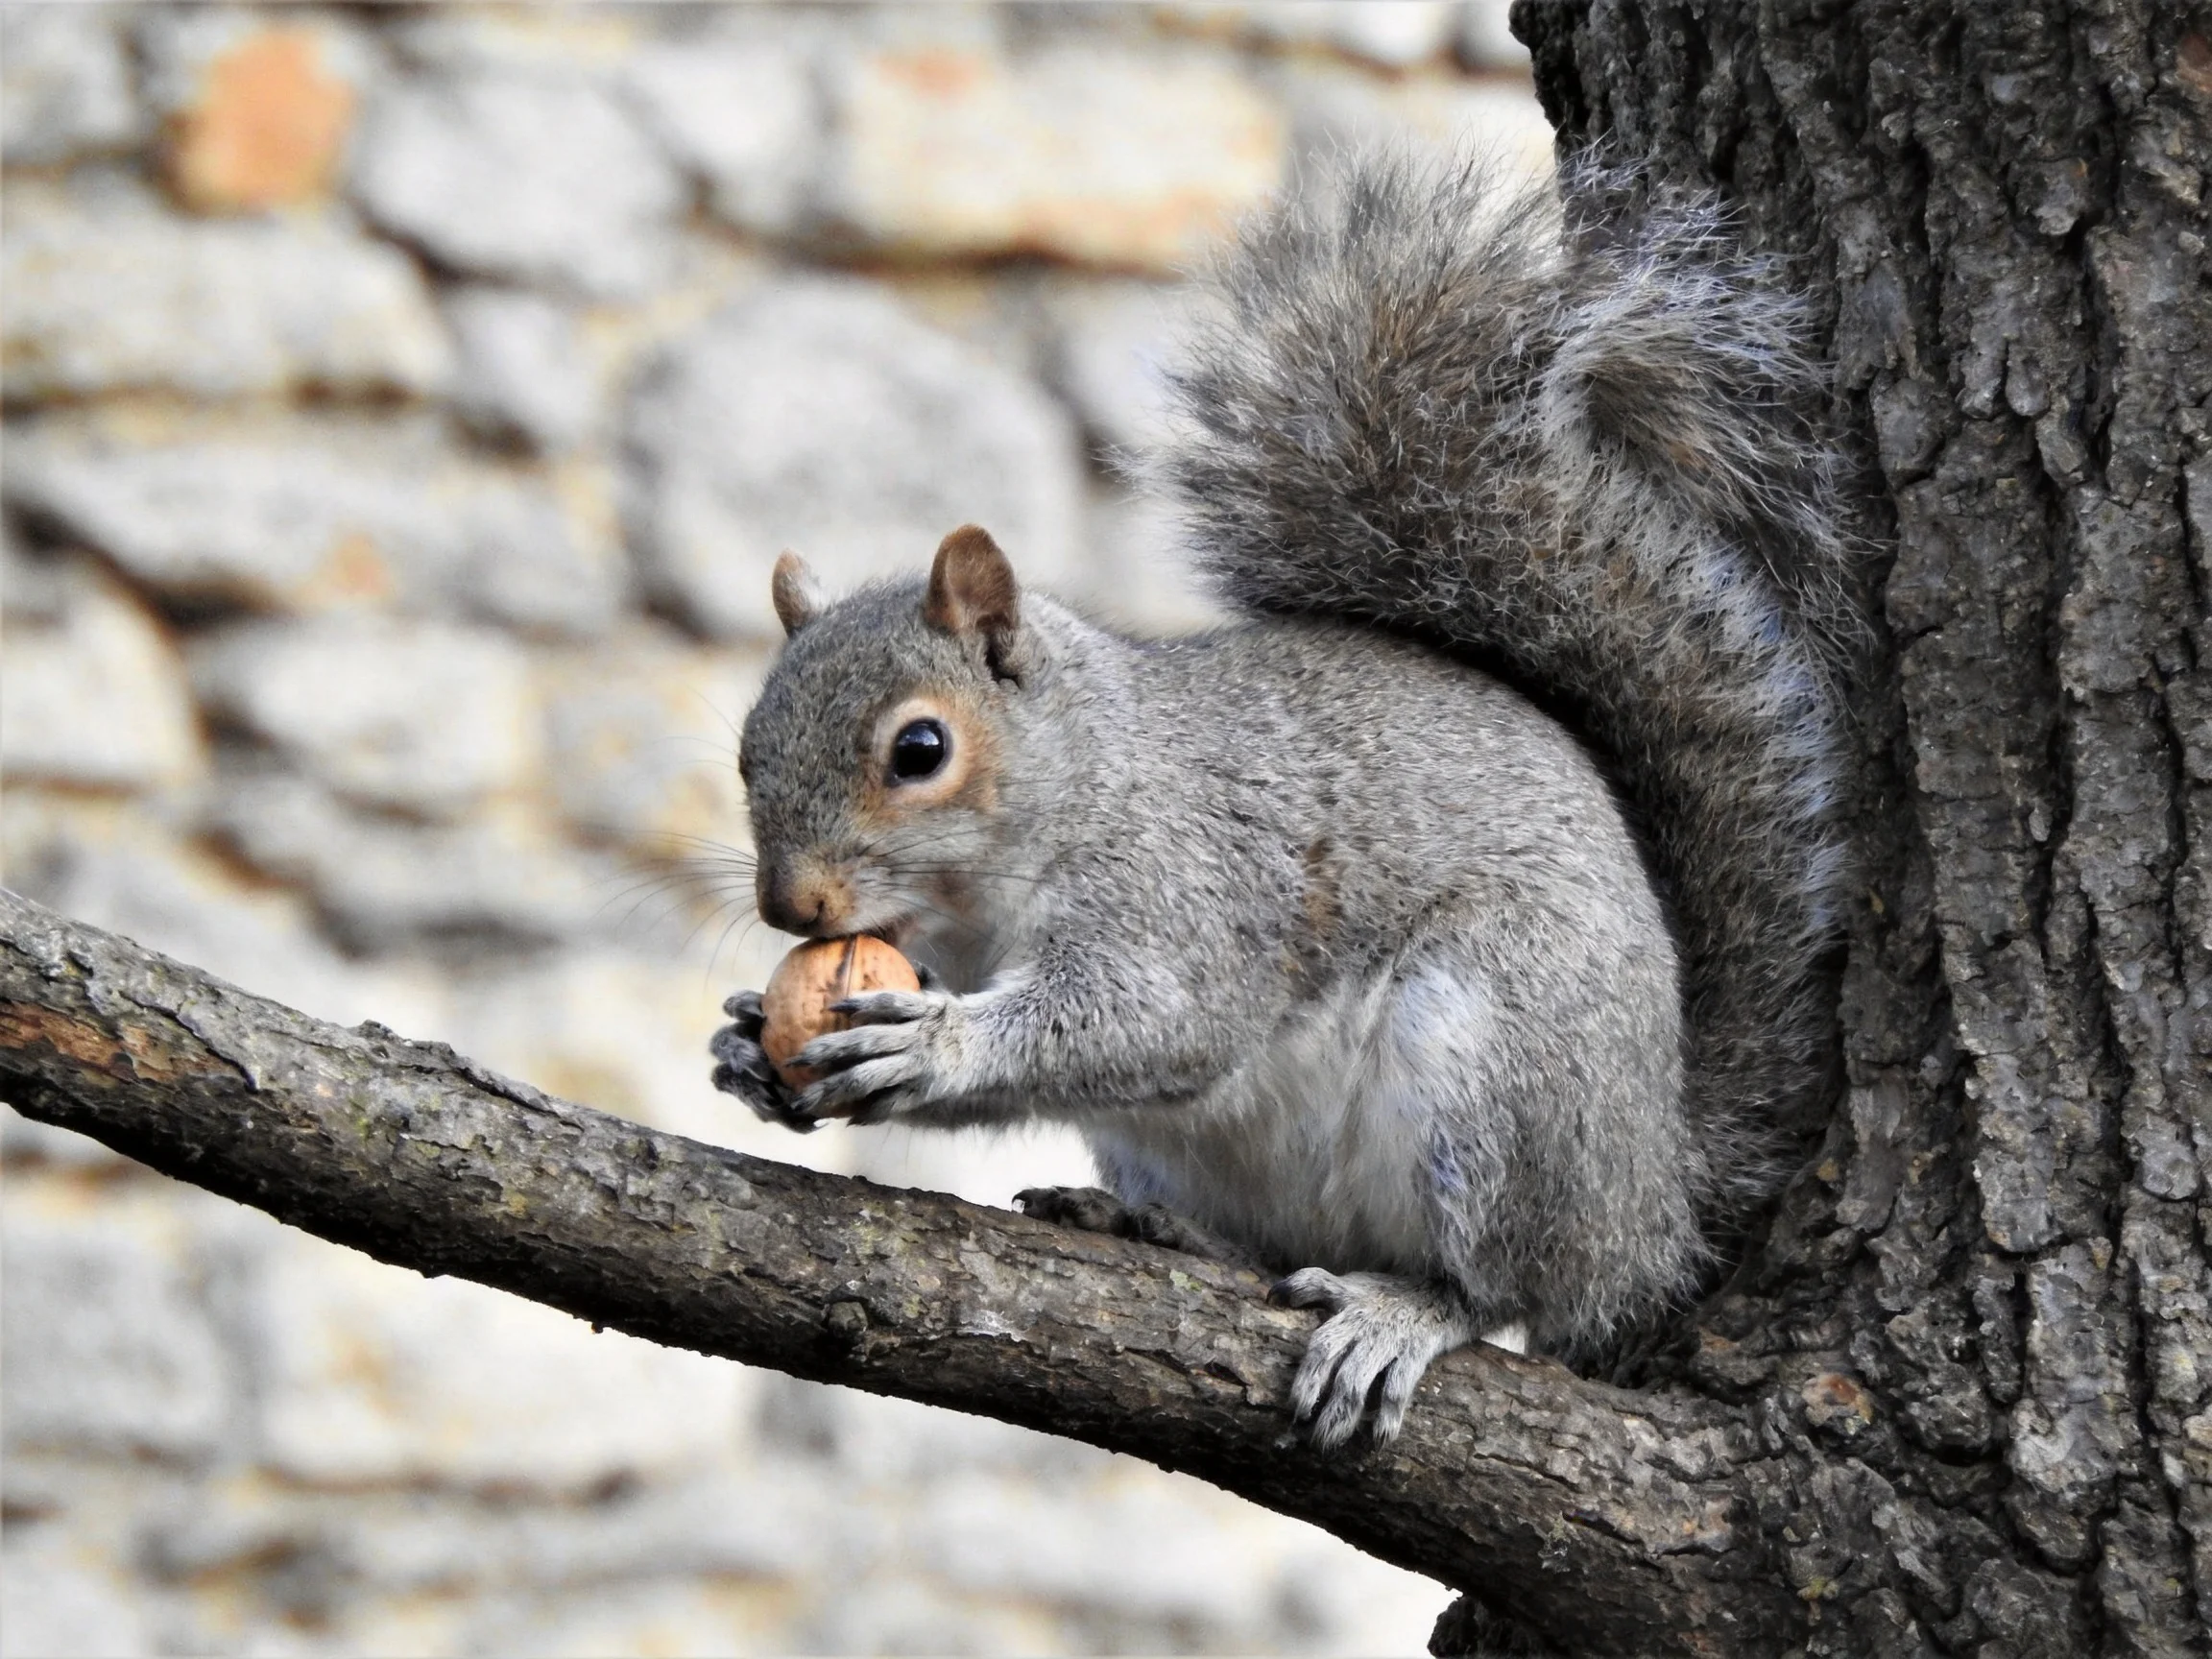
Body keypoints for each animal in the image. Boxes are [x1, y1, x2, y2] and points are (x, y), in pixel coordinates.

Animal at [709, 153, 1858, 1451]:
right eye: (744, 752)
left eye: (919, 749)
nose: (792, 907)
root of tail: (1655, 1196)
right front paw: (750, 1050)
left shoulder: (1189, 881)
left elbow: (1154, 1018)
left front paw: (933, 1043)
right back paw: (1151, 1226)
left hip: (1500, 1065)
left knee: (1507, 1285)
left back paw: (1402, 1312)